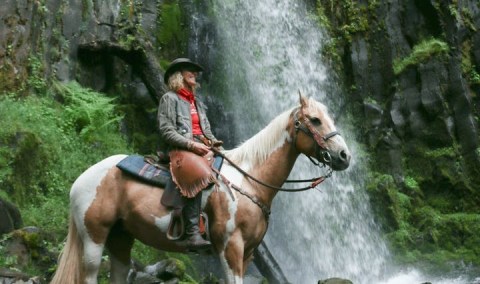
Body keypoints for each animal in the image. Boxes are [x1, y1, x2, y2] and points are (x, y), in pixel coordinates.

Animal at [50, 93, 350, 284]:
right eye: (315, 120)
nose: (344, 156)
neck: (249, 181)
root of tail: (81, 179)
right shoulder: (230, 248)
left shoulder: (248, 253)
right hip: (94, 238)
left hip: (121, 238)